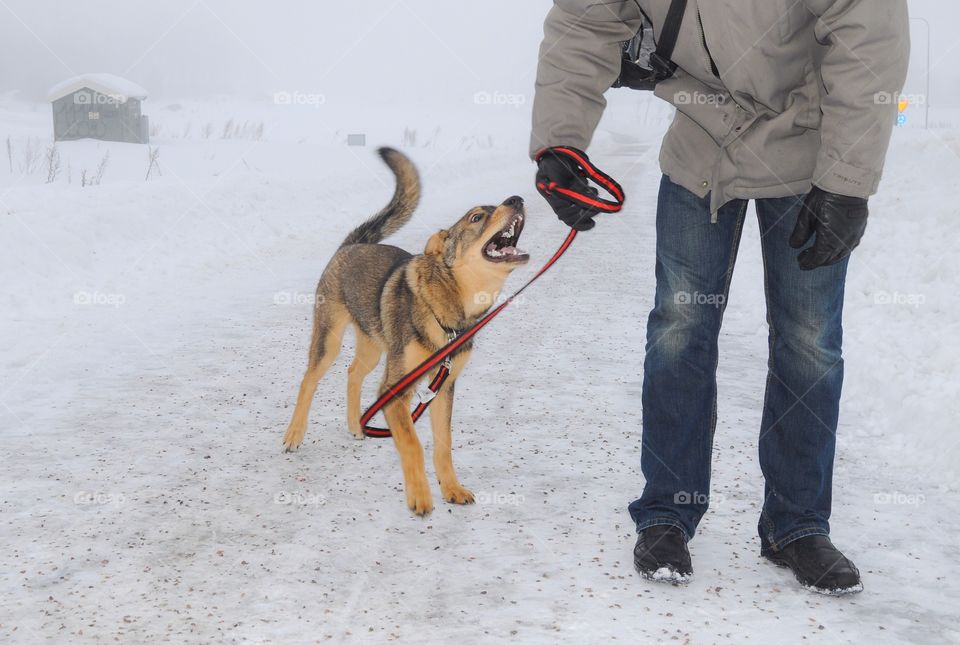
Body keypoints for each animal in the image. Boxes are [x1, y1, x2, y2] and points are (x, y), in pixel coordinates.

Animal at [282, 146, 528, 512]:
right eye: (476, 217)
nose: (517, 198)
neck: (450, 309)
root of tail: (352, 244)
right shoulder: (396, 391)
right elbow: (412, 443)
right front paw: (420, 497)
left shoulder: (443, 386)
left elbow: (443, 445)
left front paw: (451, 488)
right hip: (330, 340)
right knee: (309, 380)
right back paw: (294, 434)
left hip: (374, 345)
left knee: (353, 373)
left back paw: (356, 425)